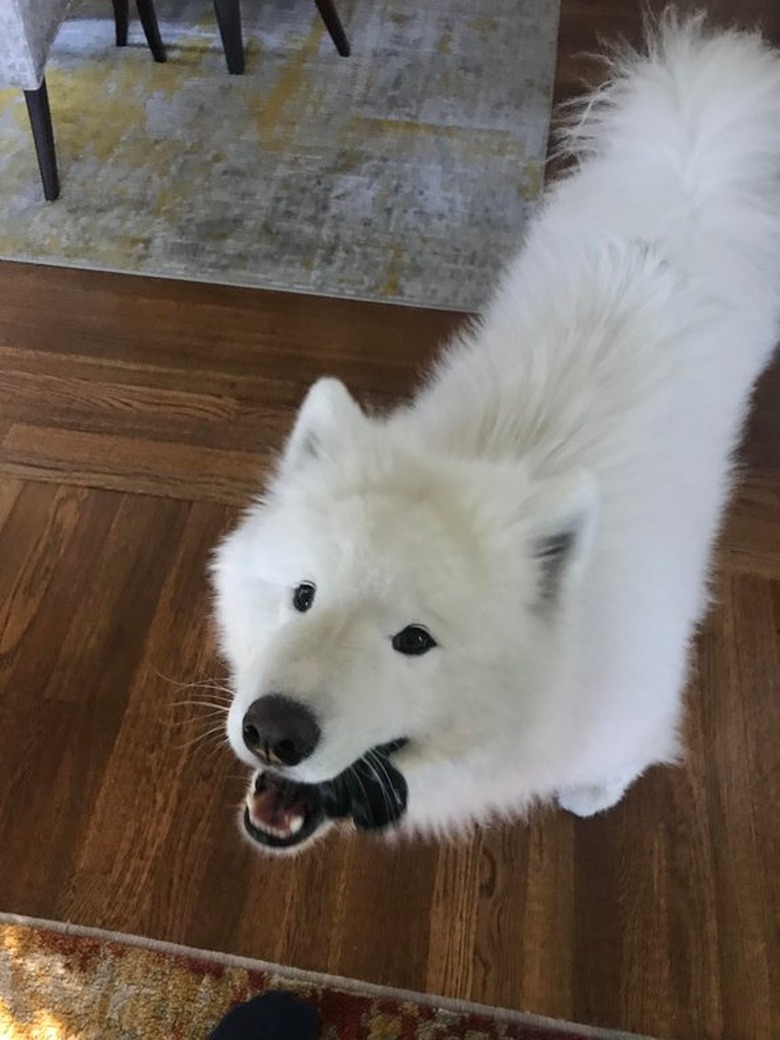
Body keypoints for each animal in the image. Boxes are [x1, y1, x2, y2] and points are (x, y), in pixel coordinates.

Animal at [212, 12, 780, 852]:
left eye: (414, 640)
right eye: (303, 596)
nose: (273, 731)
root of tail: (688, 177)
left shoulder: (634, 709)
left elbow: (620, 759)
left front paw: (593, 792)